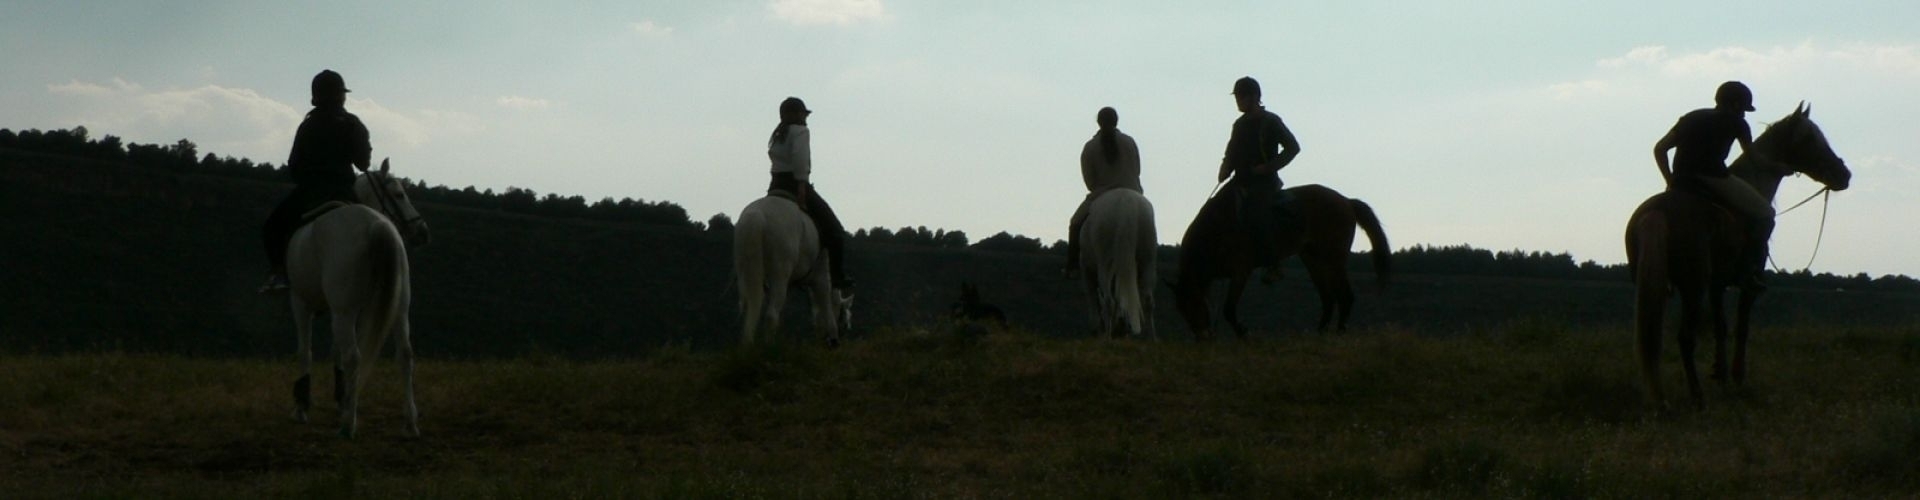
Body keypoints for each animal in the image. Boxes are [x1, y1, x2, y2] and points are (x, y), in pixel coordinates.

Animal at [282, 160, 430, 438]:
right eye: (399, 194)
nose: (422, 232)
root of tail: (376, 224)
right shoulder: (354, 312)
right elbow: (335, 352)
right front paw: (342, 398)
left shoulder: (301, 302)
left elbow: (306, 352)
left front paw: (302, 407)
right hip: (398, 309)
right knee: (405, 354)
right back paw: (410, 423)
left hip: (342, 311)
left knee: (354, 356)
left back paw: (348, 424)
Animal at [733, 193, 856, 346]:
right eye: (844, 320)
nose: (845, 332)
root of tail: (757, 216)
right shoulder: (822, 279)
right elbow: (825, 306)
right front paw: (832, 338)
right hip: (780, 274)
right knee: (771, 314)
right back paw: (769, 345)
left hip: (747, 273)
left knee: (750, 310)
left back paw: (748, 344)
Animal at [1082, 189, 1152, 338]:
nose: (1119, 332)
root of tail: (1126, 200)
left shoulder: (1086, 269)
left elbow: (1092, 298)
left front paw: (1095, 329)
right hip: (1148, 259)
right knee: (1148, 300)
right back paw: (1152, 338)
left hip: (1104, 264)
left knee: (1109, 301)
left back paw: (1107, 338)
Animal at [1159, 183, 1390, 340]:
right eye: (1181, 309)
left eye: (1194, 303)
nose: (1202, 338)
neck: (1215, 232)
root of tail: (1347, 201)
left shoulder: (1241, 272)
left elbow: (1229, 309)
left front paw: (1244, 333)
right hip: (1313, 260)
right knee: (1328, 298)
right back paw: (1319, 333)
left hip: (1334, 259)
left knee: (1345, 296)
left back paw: (1339, 332)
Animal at [1628, 102, 1850, 409]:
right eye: (1810, 139)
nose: (1844, 175)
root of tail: (1657, 212)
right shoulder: (1746, 286)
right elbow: (1742, 327)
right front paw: (1736, 377)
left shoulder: (1717, 286)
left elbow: (1721, 327)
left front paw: (1720, 373)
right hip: (1693, 286)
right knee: (1685, 338)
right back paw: (1697, 396)